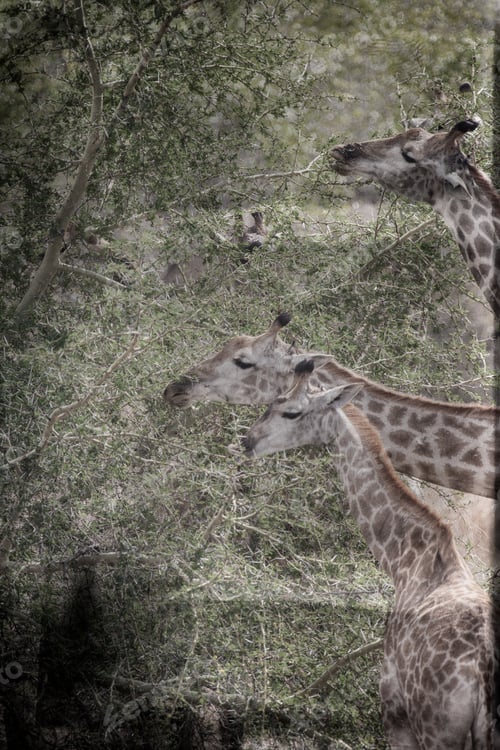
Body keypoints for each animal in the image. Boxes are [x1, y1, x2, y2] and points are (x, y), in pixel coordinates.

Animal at [242, 360, 495, 749]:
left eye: (291, 411)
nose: (248, 441)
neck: (403, 558)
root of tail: (481, 669)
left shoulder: (395, 712)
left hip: (438, 729)